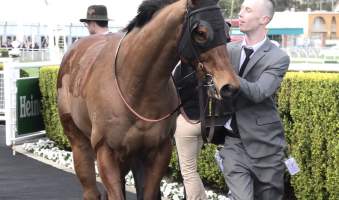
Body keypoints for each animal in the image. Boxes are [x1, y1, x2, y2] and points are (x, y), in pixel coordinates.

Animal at [56, 0, 239, 199]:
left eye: (227, 29)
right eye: (201, 32)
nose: (230, 86)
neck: (136, 89)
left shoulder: (159, 150)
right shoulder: (105, 151)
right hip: (78, 140)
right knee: (90, 188)